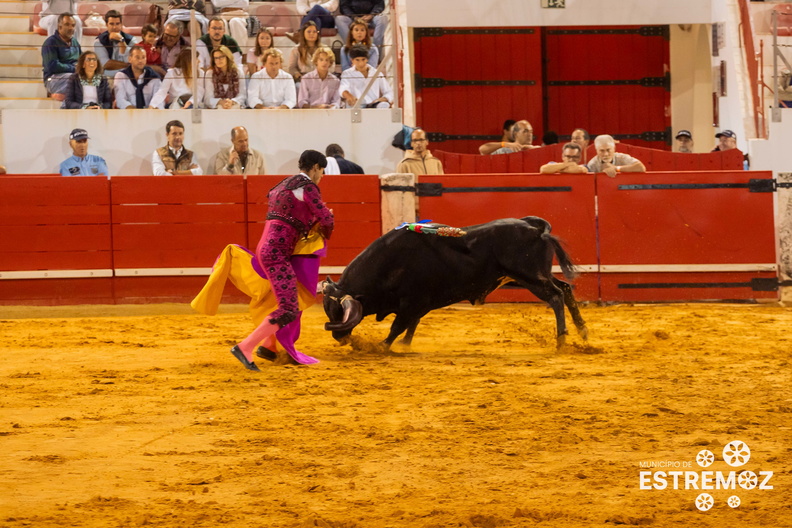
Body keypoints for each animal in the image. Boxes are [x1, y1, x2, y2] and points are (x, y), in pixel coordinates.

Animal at [322, 217, 588, 348]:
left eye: (339, 311)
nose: (338, 337)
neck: (391, 262)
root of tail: (536, 227)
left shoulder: (411, 302)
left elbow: (398, 326)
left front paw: (382, 345)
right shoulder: (418, 306)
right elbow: (411, 325)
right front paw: (406, 345)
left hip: (530, 277)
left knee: (556, 295)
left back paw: (562, 339)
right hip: (526, 277)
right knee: (565, 288)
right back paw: (583, 332)